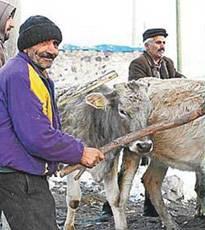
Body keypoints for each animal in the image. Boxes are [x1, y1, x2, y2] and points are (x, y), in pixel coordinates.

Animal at [56, 81, 153, 230]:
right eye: (122, 111)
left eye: (149, 111)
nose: (144, 145)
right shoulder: (71, 164)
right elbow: (74, 199)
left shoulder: (111, 161)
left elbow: (115, 199)